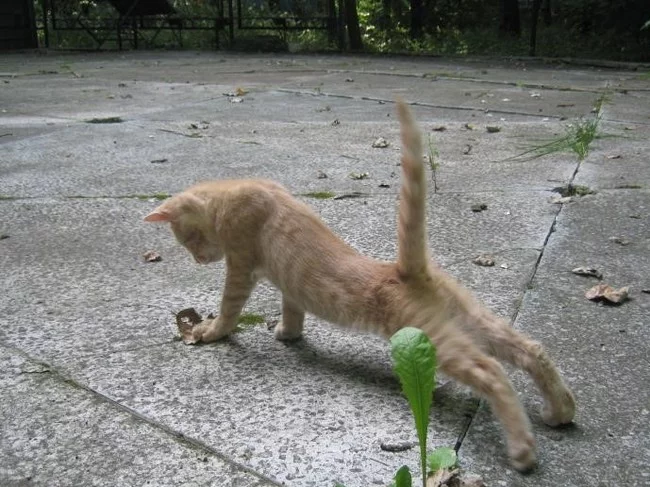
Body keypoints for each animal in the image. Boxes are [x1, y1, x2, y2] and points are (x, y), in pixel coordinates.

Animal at [144, 100, 576, 472]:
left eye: (189, 240)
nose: (199, 260)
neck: (239, 188)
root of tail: (405, 269)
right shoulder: (288, 284)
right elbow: (292, 305)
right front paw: (288, 333)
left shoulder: (240, 265)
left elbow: (230, 307)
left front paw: (212, 331)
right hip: (469, 318)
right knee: (529, 349)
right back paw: (561, 410)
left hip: (433, 337)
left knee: (492, 371)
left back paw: (522, 450)